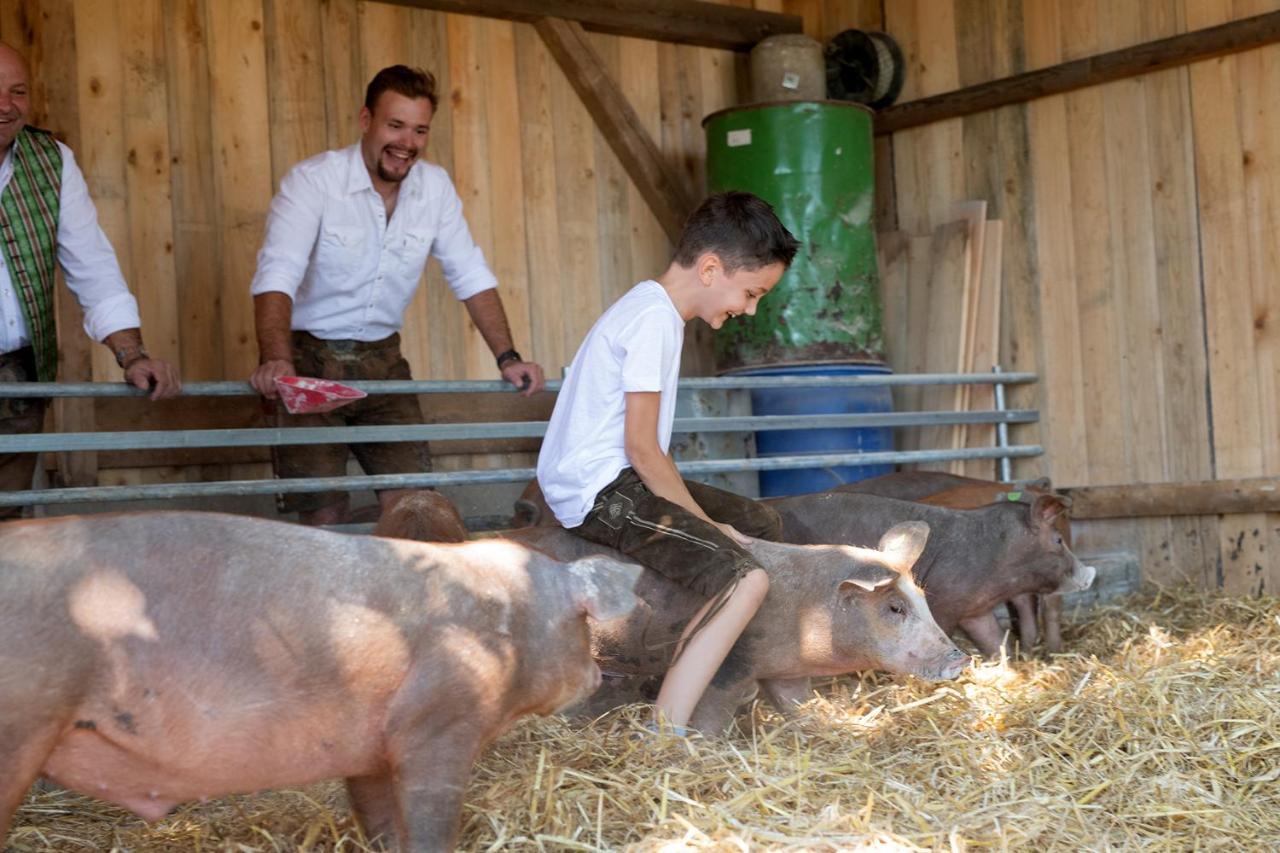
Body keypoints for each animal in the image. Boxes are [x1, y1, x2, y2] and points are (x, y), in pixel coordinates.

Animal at [0, 507, 640, 845]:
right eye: (585, 624)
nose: (598, 676)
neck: (513, 618)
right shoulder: (441, 722)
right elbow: (431, 820)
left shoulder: (371, 749)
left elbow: (379, 820)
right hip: (22, 728)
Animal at [499, 517, 967, 732]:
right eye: (894, 608)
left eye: (922, 597)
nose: (961, 658)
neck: (808, 613)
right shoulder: (732, 665)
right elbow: (712, 712)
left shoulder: (784, 671)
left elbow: (796, 703)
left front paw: (815, 726)